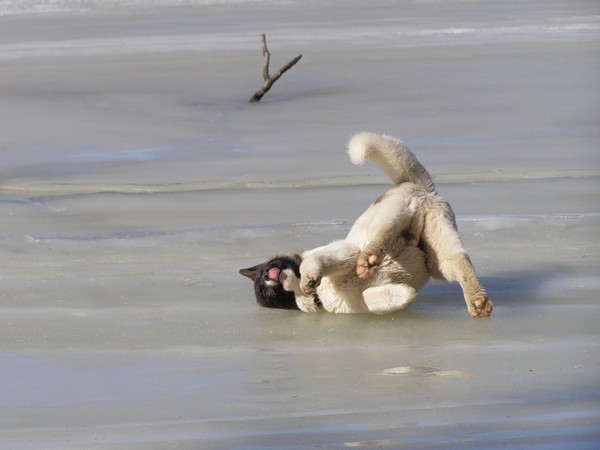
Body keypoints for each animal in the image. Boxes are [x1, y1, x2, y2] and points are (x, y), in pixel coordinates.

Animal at [239, 132, 492, 318]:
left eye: (267, 268)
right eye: (263, 287)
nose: (269, 273)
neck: (312, 293)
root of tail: (415, 185)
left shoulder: (342, 252)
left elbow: (315, 262)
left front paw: (310, 275)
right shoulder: (356, 303)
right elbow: (375, 298)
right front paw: (405, 294)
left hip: (389, 215)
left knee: (384, 231)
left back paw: (370, 258)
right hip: (437, 252)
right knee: (458, 259)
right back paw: (477, 299)